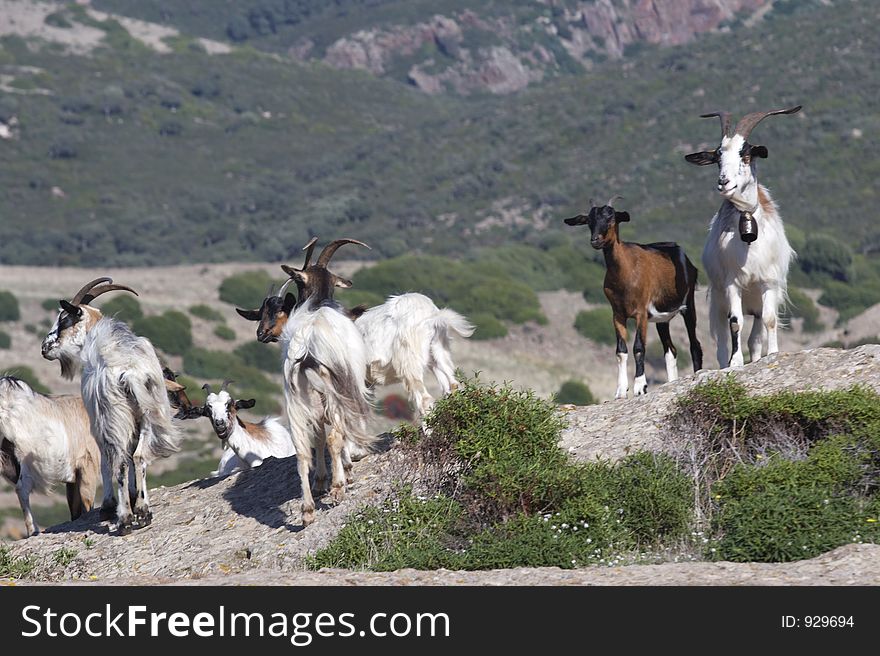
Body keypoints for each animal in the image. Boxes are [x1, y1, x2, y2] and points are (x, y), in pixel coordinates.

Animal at [0, 376, 100, 536]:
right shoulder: (88, 465)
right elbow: (87, 502)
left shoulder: (73, 477)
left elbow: (75, 508)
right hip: (26, 461)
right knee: (22, 489)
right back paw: (33, 531)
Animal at [41, 276, 180, 532]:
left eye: (63, 319)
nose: (44, 348)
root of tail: (129, 373)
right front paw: (134, 497)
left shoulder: (96, 422)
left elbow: (106, 462)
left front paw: (107, 506)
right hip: (148, 413)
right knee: (139, 456)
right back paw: (142, 513)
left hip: (112, 416)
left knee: (121, 462)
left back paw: (124, 519)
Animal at [568, 197, 704, 398]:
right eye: (589, 221)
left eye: (611, 218)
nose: (595, 240)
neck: (626, 271)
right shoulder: (617, 314)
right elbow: (621, 350)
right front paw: (620, 390)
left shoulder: (641, 313)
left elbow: (639, 347)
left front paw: (640, 387)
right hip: (662, 319)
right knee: (670, 350)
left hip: (688, 306)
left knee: (695, 346)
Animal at [684, 105, 800, 366]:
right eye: (717, 158)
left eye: (745, 155)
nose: (723, 183)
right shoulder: (731, 283)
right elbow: (735, 322)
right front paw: (735, 363)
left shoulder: (768, 282)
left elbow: (770, 320)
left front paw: (773, 354)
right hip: (718, 299)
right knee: (721, 336)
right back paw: (724, 361)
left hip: (755, 303)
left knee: (755, 338)